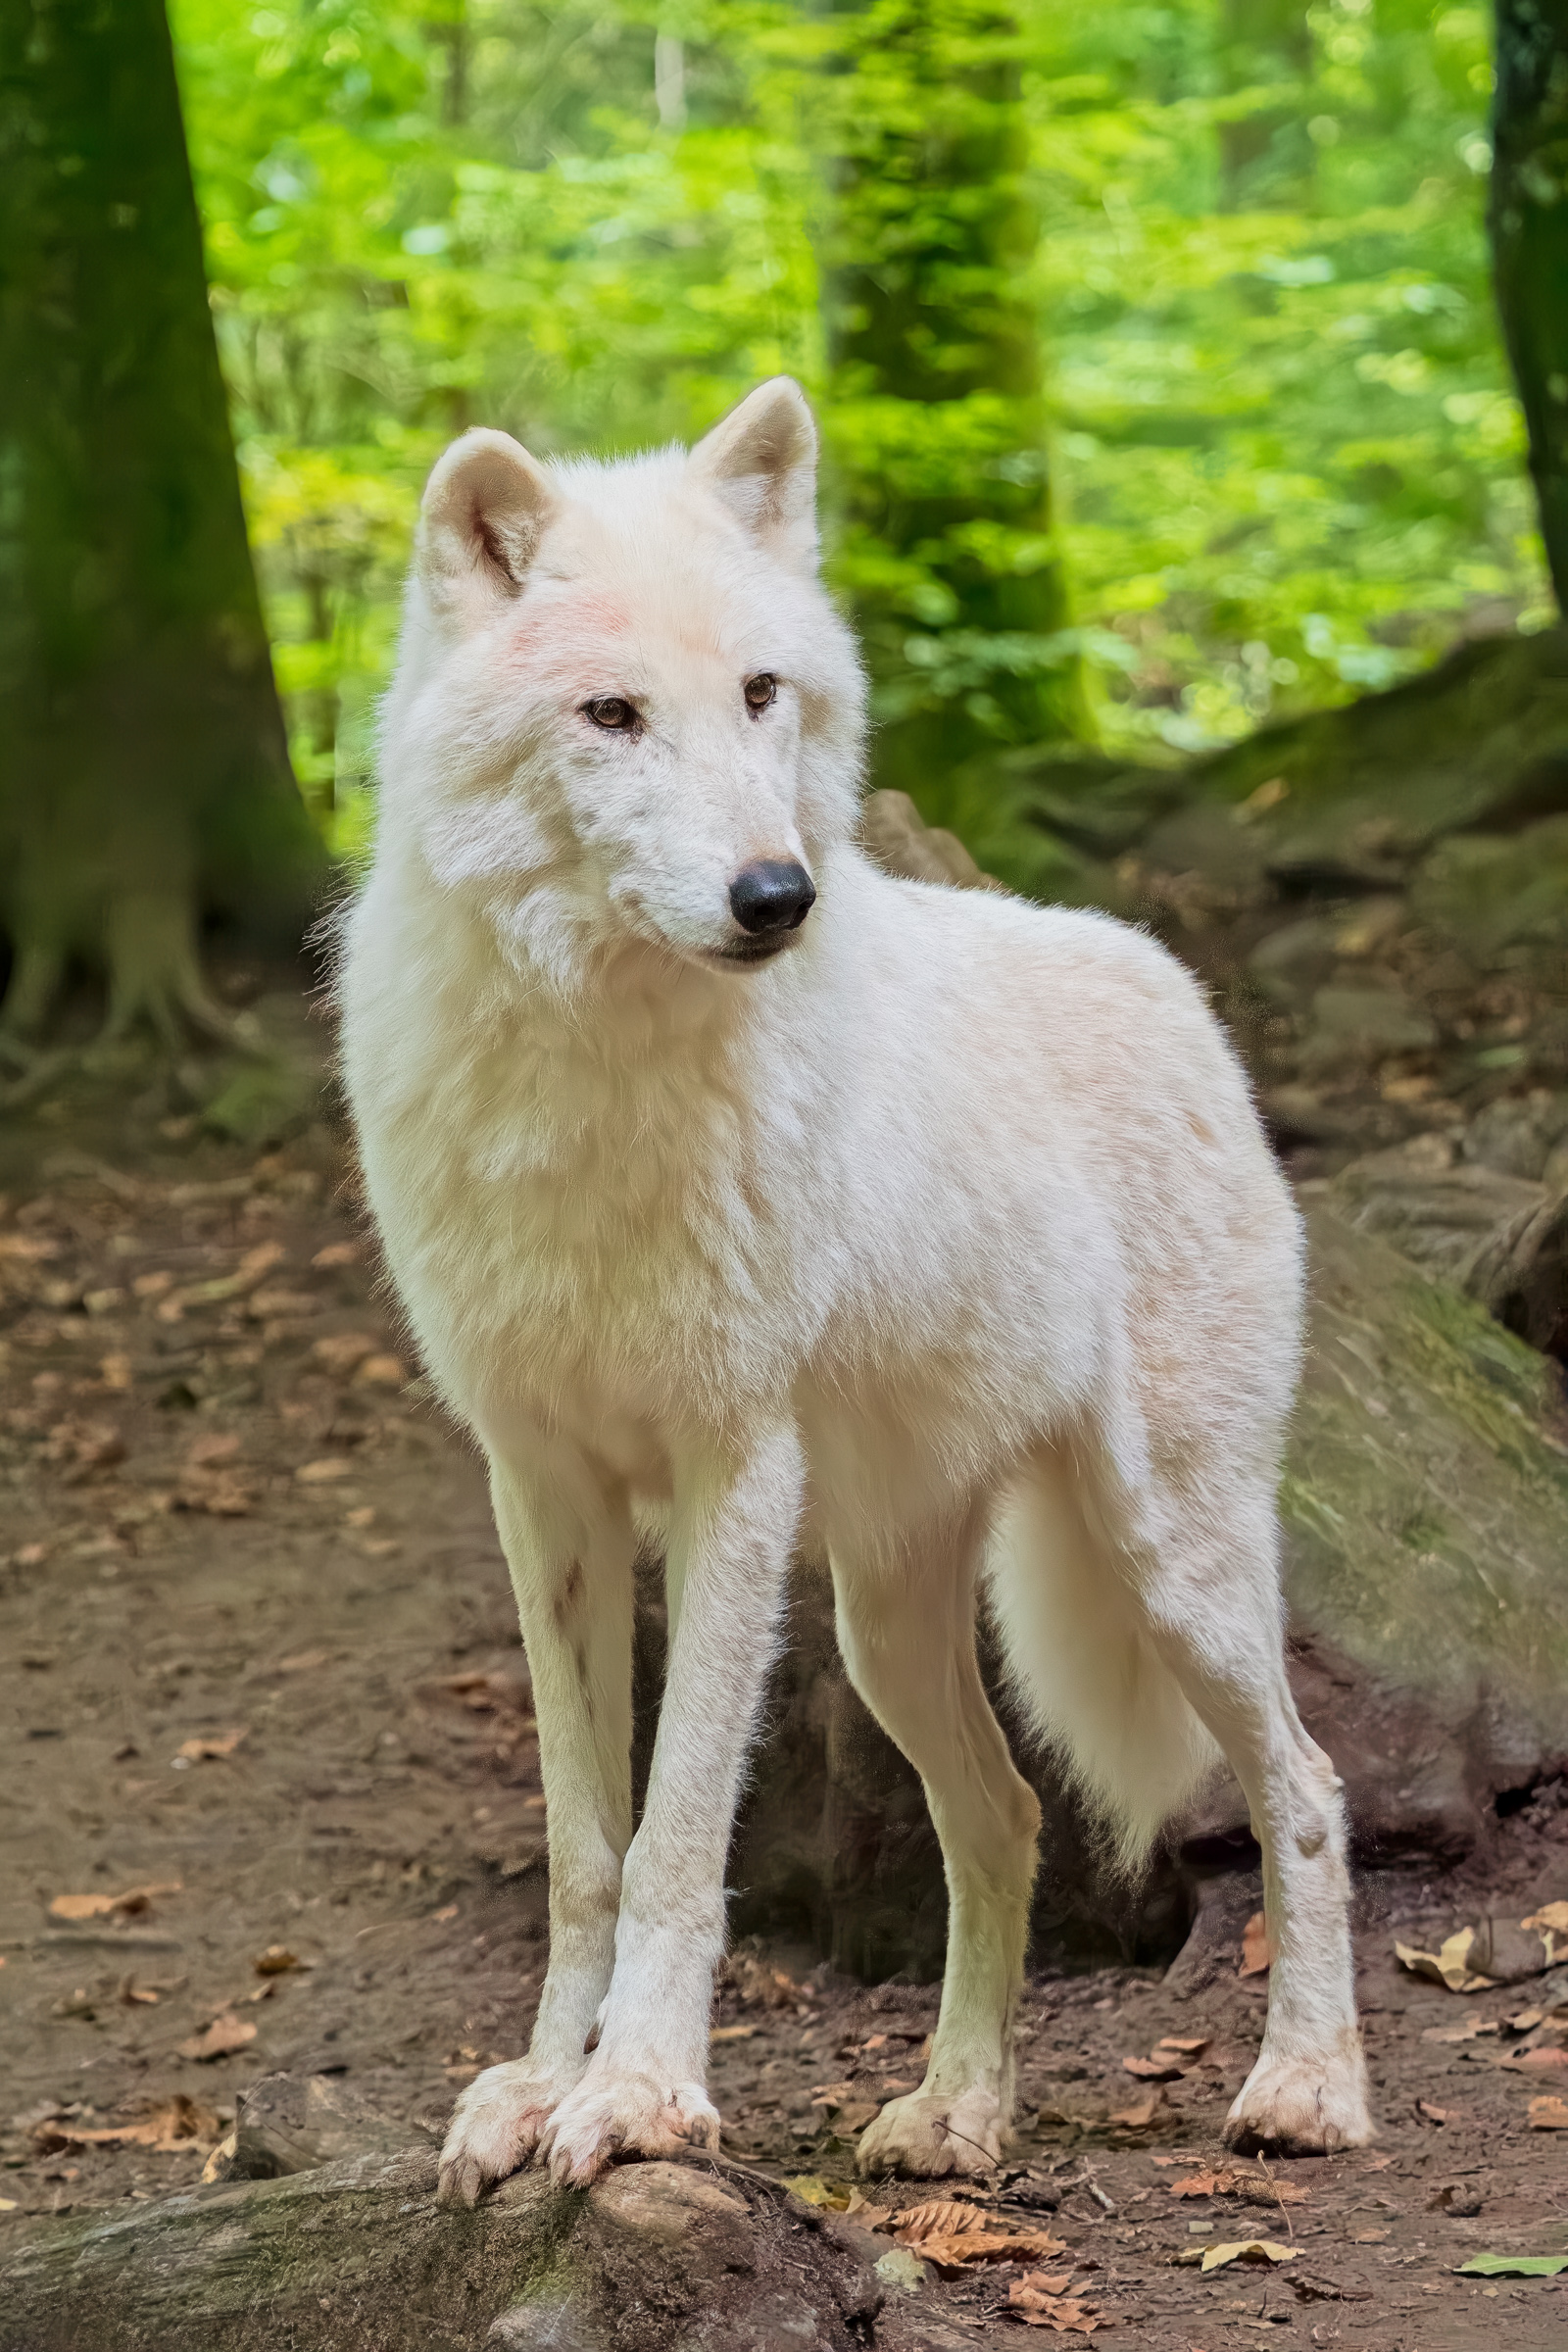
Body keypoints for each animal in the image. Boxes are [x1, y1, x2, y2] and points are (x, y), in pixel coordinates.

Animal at [339, 378, 1372, 2202]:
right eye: (612, 715)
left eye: (761, 693)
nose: (778, 897)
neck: (598, 1068)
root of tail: (1177, 986)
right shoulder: (544, 1493)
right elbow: (585, 1846)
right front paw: (537, 2090)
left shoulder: (730, 1469)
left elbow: (678, 1839)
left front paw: (639, 2098)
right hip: (885, 1625)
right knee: (1007, 1817)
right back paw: (957, 2113)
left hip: (1165, 1557)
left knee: (1305, 1789)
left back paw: (1305, 2088)